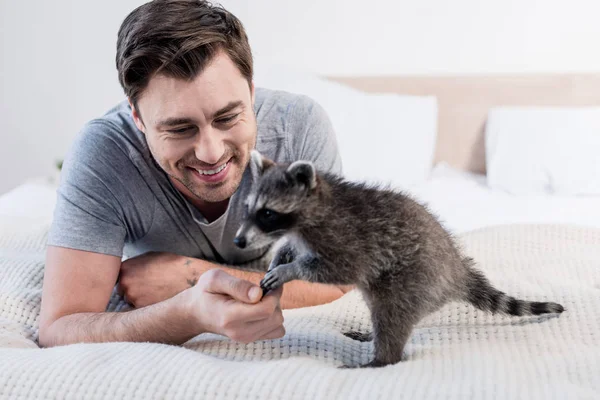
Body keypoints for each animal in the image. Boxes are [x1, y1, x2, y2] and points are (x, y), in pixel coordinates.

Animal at [232, 151, 564, 368]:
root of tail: (456, 269)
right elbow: (289, 248)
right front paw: (280, 259)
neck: (316, 205)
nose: (238, 241)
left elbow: (339, 270)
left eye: (267, 213)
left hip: (415, 278)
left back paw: (381, 359)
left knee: (391, 315)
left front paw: (290, 270)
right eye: (248, 208)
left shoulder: (344, 239)